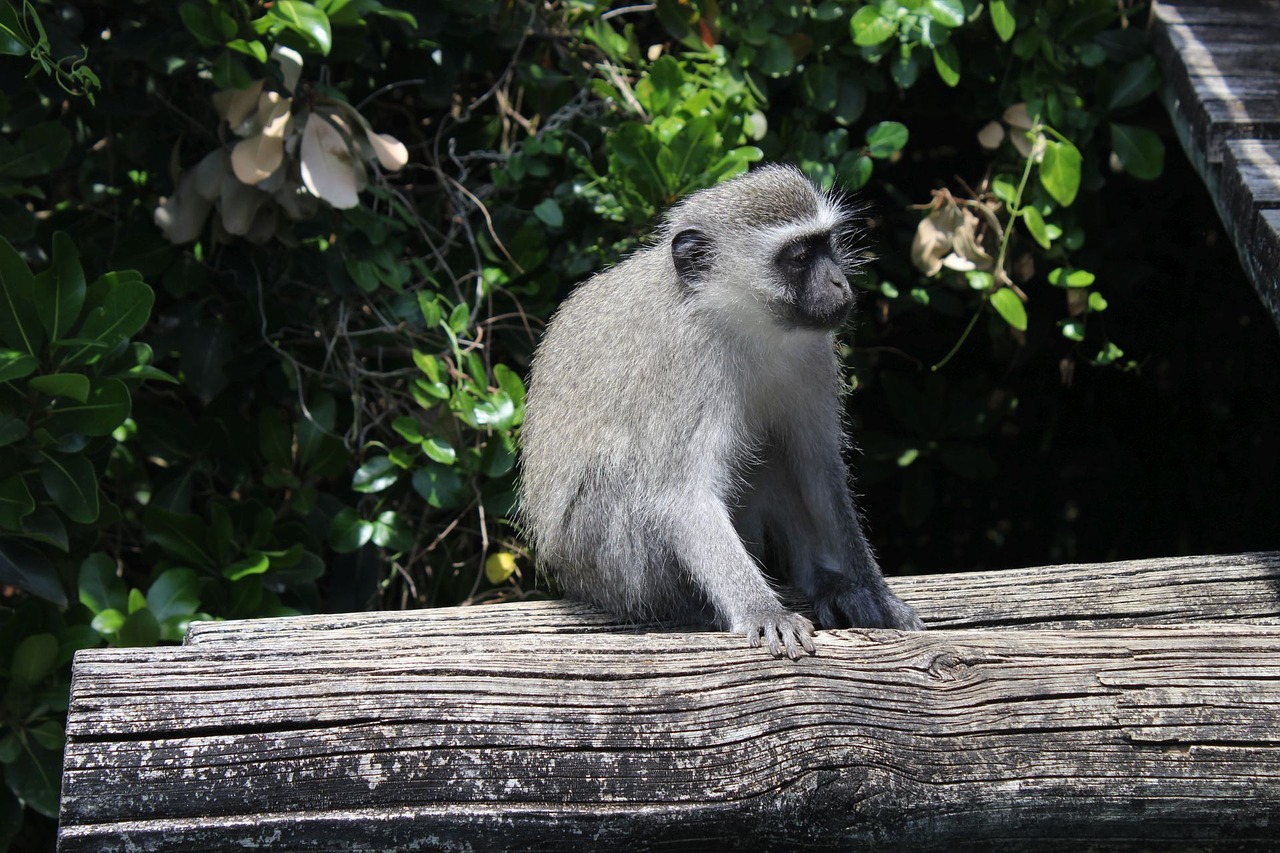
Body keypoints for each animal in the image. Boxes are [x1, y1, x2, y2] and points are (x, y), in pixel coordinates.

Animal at [519, 163, 921, 655]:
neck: (747, 325)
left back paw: (825, 583)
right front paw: (763, 611)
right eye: (798, 256)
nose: (839, 284)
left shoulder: (814, 353)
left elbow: (819, 471)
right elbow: (681, 495)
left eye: (826, 245)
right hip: (601, 563)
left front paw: (875, 594)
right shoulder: (684, 363)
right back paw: (694, 607)